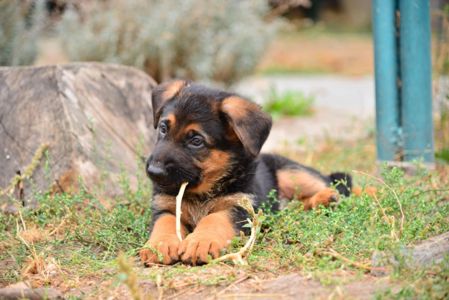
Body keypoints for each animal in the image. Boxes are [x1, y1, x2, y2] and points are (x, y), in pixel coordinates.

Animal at [139, 79, 350, 264]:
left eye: (196, 141)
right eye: (163, 129)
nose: (154, 171)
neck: (202, 192)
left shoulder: (240, 207)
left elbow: (214, 218)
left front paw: (201, 241)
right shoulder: (164, 206)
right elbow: (164, 223)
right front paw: (159, 245)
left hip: (293, 174)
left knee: (338, 185)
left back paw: (331, 196)